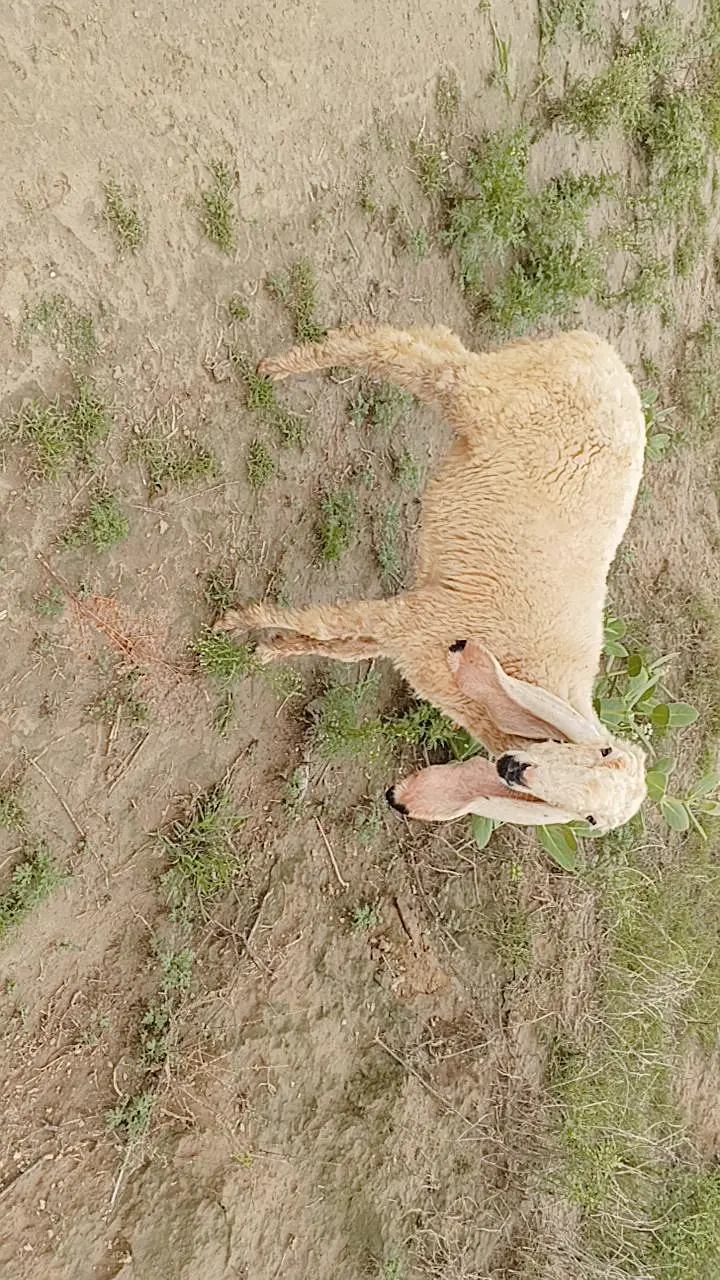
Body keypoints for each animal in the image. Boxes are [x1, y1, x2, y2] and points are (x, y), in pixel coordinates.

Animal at [215, 322, 648, 834]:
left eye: (589, 819)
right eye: (600, 752)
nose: (515, 768)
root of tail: (604, 354)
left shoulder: (412, 633)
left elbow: (344, 643)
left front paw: (272, 649)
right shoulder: (422, 619)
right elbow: (328, 622)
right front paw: (238, 623)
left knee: (436, 343)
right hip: (481, 395)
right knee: (405, 352)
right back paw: (283, 366)